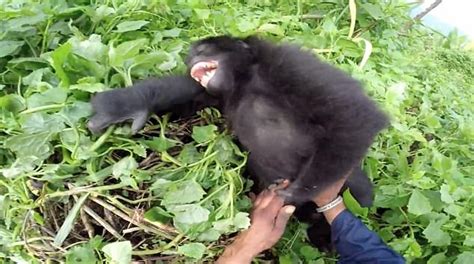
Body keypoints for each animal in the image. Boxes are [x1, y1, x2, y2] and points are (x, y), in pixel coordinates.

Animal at [89, 35, 388, 250]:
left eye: (204, 48)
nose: (191, 55)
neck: (246, 80)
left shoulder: (288, 64)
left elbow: (353, 113)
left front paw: (300, 191)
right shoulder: (217, 94)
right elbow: (186, 100)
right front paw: (130, 103)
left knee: (359, 191)